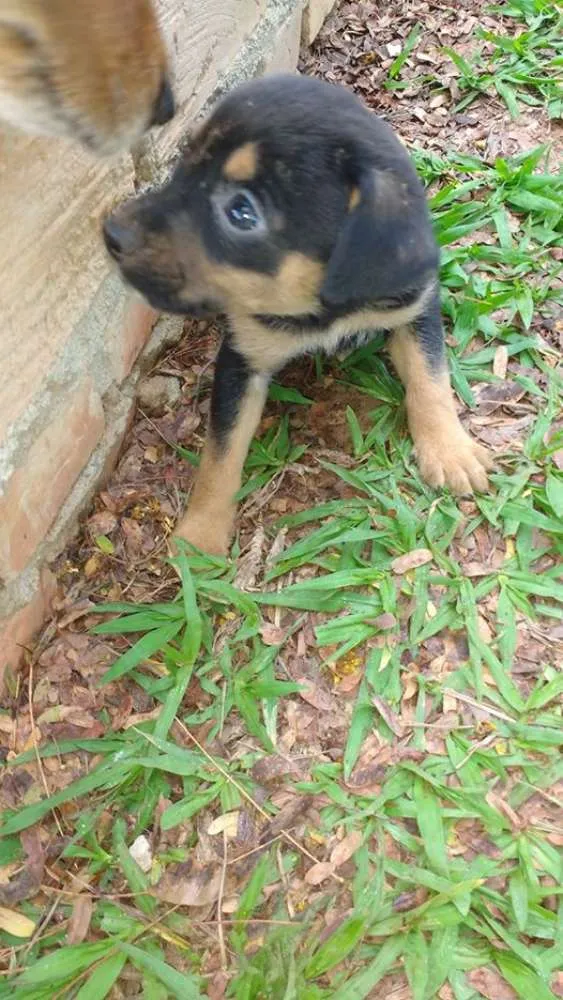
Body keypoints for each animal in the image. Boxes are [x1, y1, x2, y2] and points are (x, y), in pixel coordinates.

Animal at [103, 72, 492, 556]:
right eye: (183, 166)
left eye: (242, 212)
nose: (112, 233)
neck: (319, 306)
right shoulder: (242, 356)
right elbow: (221, 453)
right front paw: (201, 535)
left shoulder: (414, 307)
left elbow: (431, 380)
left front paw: (450, 450)